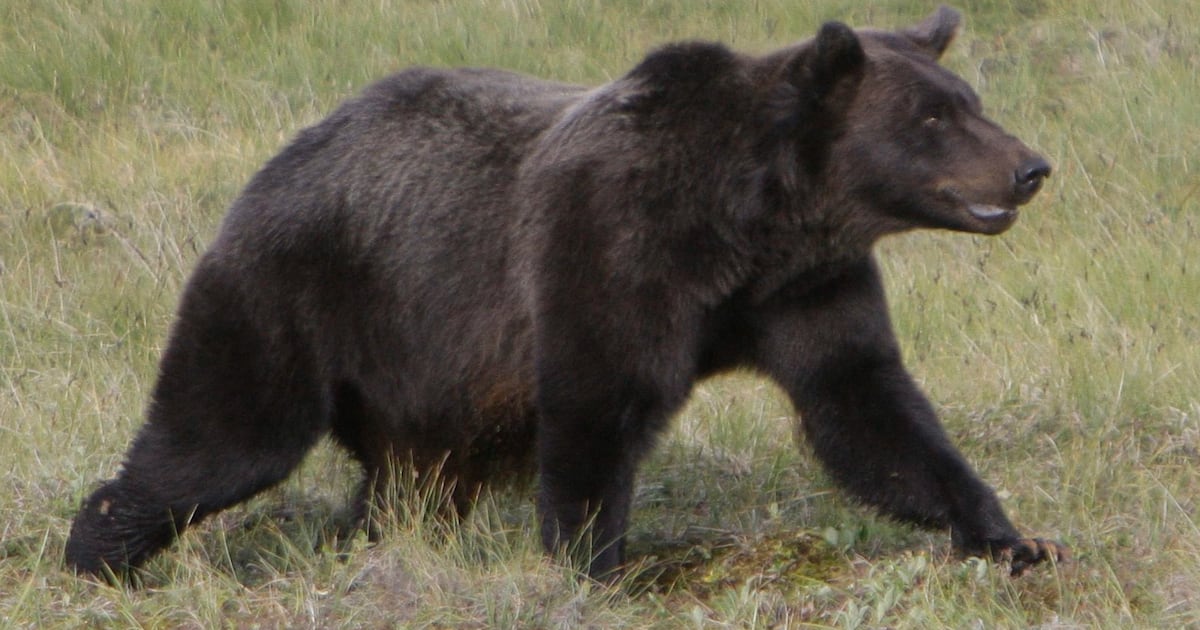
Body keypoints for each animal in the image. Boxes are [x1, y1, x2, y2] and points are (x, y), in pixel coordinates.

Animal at [66, 6, 1066, 581]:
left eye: (968, 98)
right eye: (933, 117)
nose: (1030, 167)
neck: (750, 223)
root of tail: (280, 157)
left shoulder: (806, 288)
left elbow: (868, 409)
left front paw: (1012, 537)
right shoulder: (613, 247)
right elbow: (598, 403)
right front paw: (598, 567)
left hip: (427, 377)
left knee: (409, 483)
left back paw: (370, 541)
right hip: (301, 292)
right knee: (223, 434)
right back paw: (101, 552)